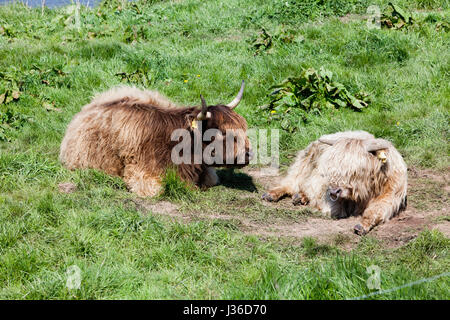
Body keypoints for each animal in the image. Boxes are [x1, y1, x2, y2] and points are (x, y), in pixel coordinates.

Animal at [262, 131, 410, 235]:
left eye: (355, 171)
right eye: (331, 167)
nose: (334, 191)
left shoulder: (391, 195)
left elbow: (376, 210)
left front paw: (362, 226)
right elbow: (335, 208)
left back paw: (300, 197)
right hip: (305, 160)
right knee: (292, 181)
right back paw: (272, 194)